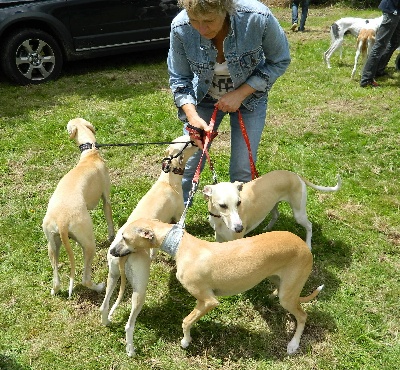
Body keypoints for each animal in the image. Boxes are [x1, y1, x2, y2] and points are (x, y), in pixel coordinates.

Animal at [42, 118, 114, 298]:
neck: (90, 154)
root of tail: (62, 221)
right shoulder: (106, 198)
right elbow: (109, 220)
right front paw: (112, 236)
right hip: (88, 243)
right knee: (85, 279)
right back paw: (99, 287)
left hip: (52, 245)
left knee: (56, 281)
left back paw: (55, 290)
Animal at [99, 135, 198, 356]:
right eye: (186, 142)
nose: (197, 135)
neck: (167, 181)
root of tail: (122, 253)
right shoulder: (178, 218)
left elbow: (153, 247)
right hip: (140, 289)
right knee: (129, 325)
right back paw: (131, 350)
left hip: (112, 275)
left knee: (104, 305)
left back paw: (107, 322)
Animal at [110, 220, 324, 356]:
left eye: (124, 237)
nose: (111, 251)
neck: (180, 244)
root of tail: (305, 247)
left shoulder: (208, 301)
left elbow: (186, 321)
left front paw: (185, 341)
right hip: (278, 280)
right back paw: (272, 297)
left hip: (288, 296)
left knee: (302, 316)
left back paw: (293, 344)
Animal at [203, 171, 340, 249]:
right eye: (222, 205)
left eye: (239, 202)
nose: (239, 228)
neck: (219, 220)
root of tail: (296, 175)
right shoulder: (219, 238)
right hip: (272, 204)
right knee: (276, 215)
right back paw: (267, 228)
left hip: (299, 213)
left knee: (309, 225)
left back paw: (308, 245)